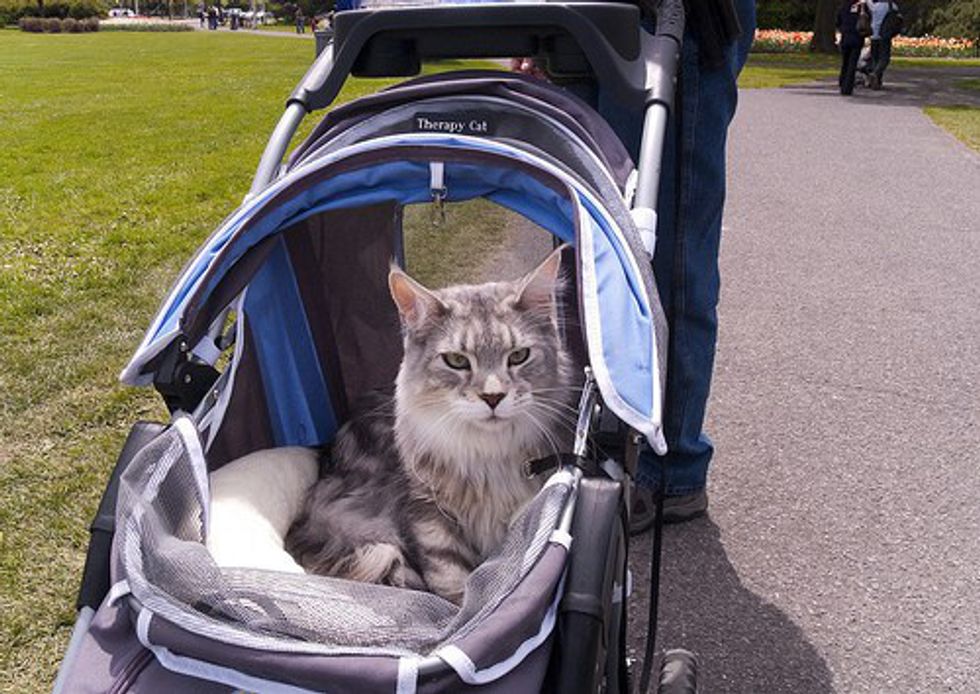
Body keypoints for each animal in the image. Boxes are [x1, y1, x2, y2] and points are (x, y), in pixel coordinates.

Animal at [283, 246, 577, 604]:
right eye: (457, 361)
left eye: (519, 356)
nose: (493, 396)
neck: (489, 455)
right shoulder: (427, 511)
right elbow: (449, 575)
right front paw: (460, 609)